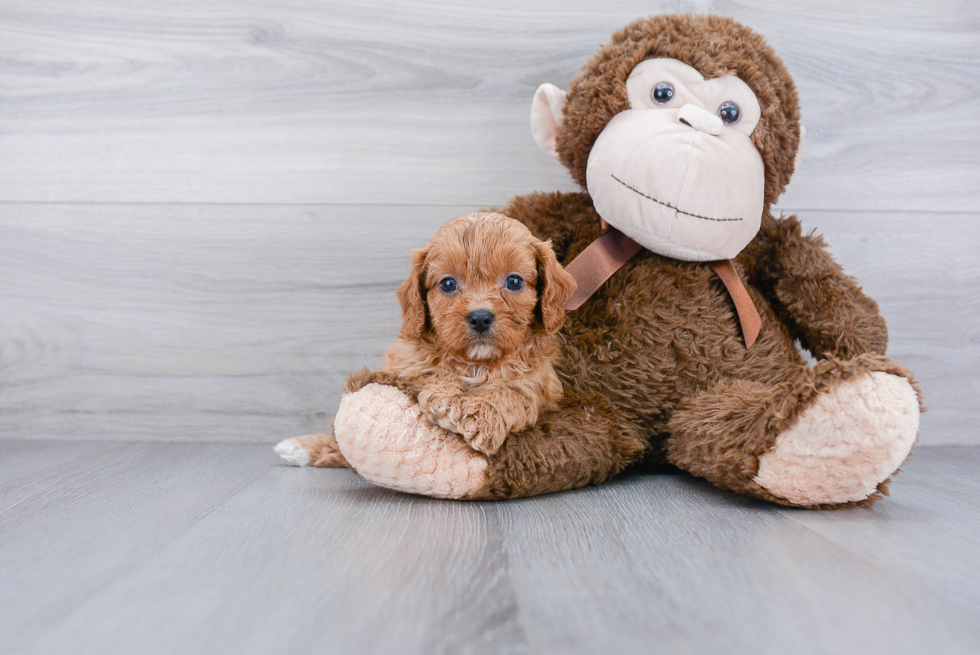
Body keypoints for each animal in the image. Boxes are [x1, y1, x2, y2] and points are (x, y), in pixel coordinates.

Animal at [276, 210, 580, 466]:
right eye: (448, 283)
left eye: (514, 281)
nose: (480, 318)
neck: (476, 363)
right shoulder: (404, 365)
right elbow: (431, 373)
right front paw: (447, 398)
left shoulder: (539, 385)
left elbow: (510, 391)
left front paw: (480, 415)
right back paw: (303, 447)